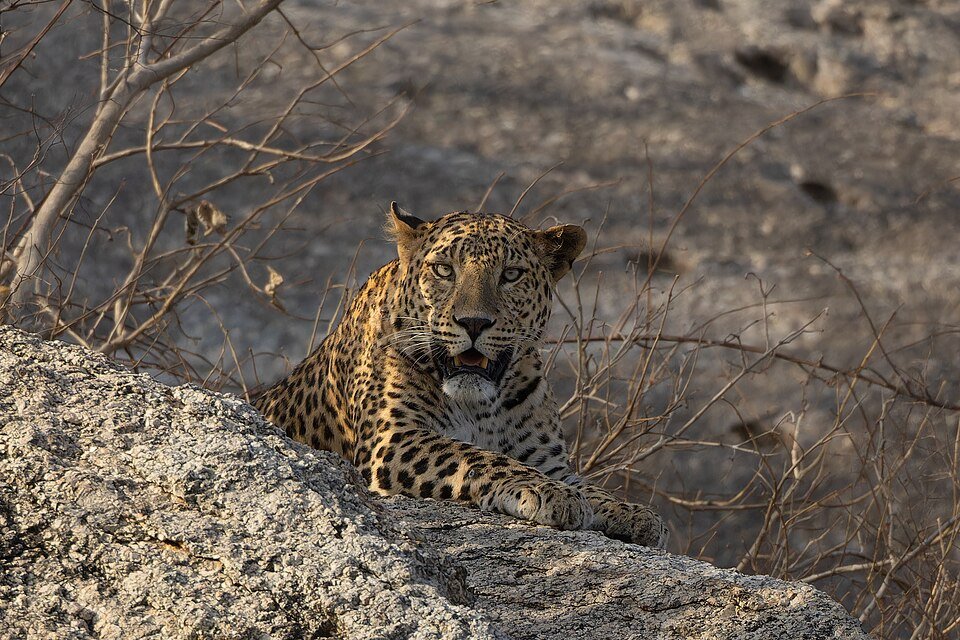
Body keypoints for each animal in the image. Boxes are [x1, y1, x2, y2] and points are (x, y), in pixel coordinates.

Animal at [254, 203, 668, 548]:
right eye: (443, 270)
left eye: (511, 275)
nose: (473, 322)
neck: (479, 405)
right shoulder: (394, 438)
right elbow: (476, 456)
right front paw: (551, 494)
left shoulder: (549, 461)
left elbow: (590, 487)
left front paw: (633, 512)